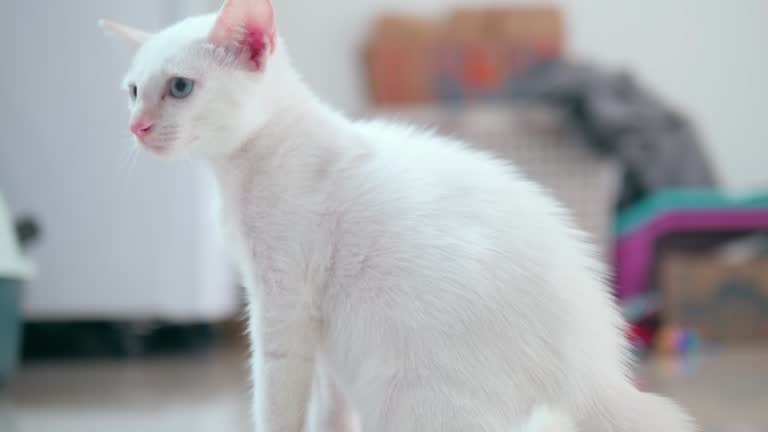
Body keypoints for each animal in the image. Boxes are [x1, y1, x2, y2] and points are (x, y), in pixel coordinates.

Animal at [102, 0, 696, 432]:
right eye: (132, 91)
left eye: (180, 87)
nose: (136, 126)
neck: (241, 166)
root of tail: (600, 378)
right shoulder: (321, 334)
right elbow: (329, 412)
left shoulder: (284, 307)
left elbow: (276, 404)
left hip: (407, 393)